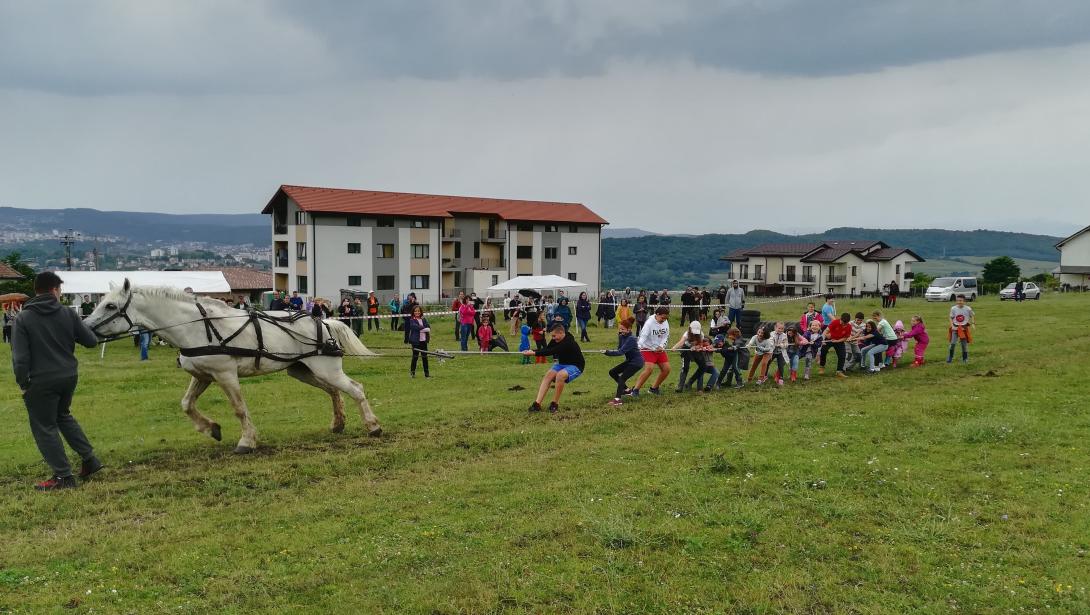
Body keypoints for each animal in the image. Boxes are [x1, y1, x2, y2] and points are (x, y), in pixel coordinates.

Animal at [80, 281, 381, 453]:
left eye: (110, 305)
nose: (85, 329)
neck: (196, 327)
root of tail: (325, 321)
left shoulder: (225, 375)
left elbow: (239, 408)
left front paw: (246, 442)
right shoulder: (202, 375)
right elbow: (186, 404)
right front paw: (211, 428)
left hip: (325, 369)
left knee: (355, 389)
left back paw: (373, 426)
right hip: (302, 370)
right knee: (334, 391)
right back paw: (338, 424)